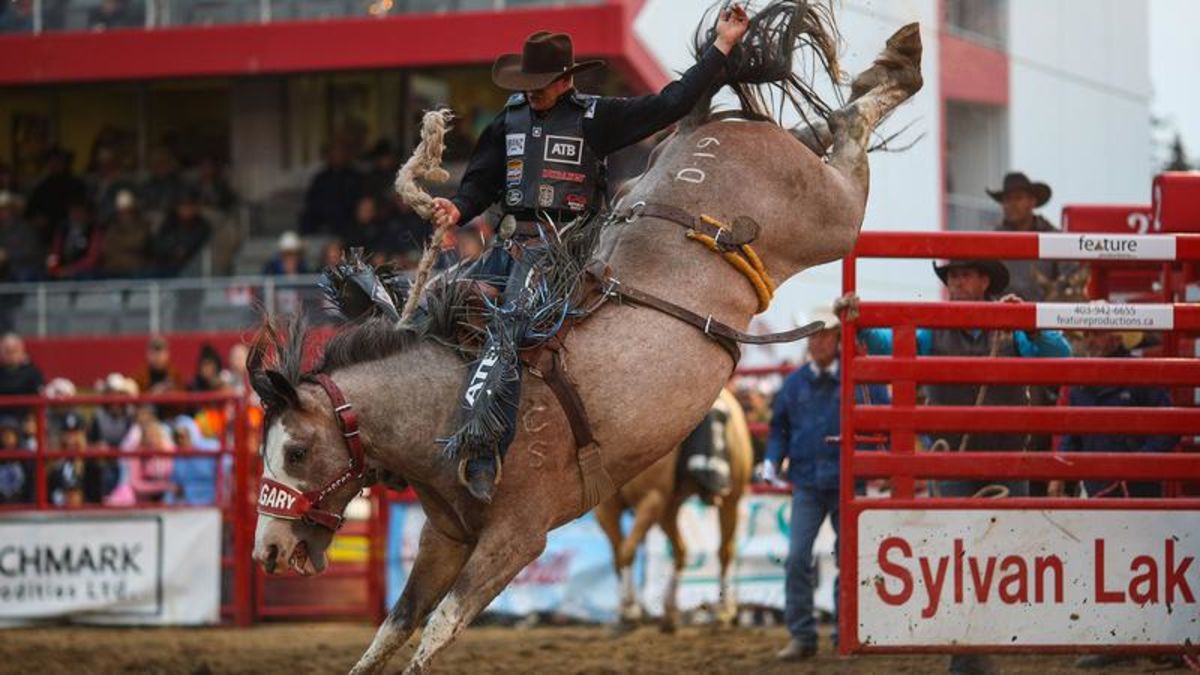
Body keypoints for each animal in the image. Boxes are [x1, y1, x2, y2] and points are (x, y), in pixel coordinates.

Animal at [597, 384, 753, 629]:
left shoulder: (647, 501)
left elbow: (625, 552)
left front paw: (630, 609)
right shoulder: (608, 508)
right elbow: (619, 554)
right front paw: (628, 607)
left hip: (727, 500)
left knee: (724, 551)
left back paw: (723, 610)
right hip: (671, 508)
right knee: (683, 551)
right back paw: (671, 611)